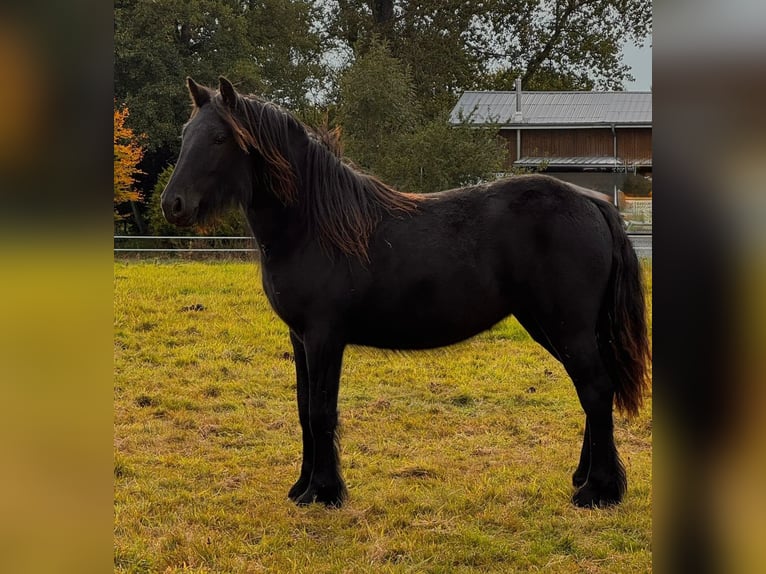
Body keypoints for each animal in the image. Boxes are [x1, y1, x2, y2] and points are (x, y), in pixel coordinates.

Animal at [161, 77, 651, 509]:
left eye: (220, 137)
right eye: (187, 134)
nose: (173, 204)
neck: (313, 226)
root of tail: (594, 204)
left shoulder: (324, 337)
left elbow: (322, 412)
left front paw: (325, 493)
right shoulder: (299, 338)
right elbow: (303, 410)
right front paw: (302, 487)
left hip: (567, 328)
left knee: (595, 389)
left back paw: (599, 491)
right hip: (552, 327)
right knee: (591, 392)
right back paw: (584, 478)